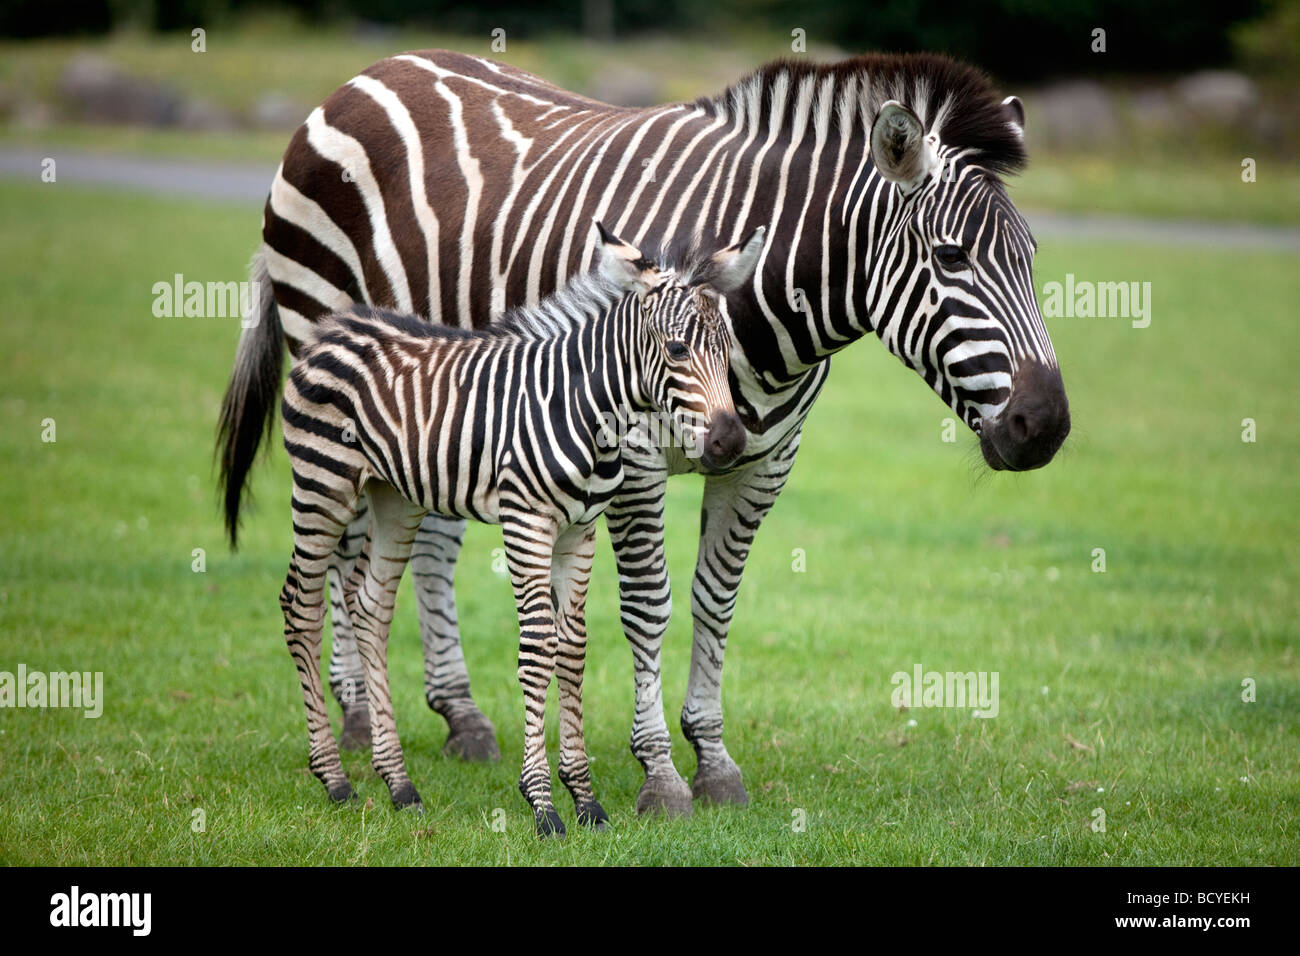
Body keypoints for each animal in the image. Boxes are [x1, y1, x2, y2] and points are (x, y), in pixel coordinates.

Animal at [274, 223, 759, 837]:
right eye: (676, 349)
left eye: (728, 351)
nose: (730, 442)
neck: (586, 406)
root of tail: (333, 327)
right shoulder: (527, 522)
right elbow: (537, 647)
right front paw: (542, 804)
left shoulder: (580, 532)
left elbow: (572, 647)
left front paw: (585, 800)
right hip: (324, 482)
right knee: (301, 604)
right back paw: (334, 778)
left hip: (394, 499)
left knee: (369, 608)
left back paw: (400, 785)